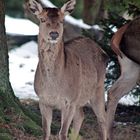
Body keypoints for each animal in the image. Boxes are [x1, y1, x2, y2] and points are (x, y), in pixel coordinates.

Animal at [27, 0, 107, 139]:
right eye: (42, 19)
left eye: (62, 20)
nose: (54, 34)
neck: (54, 88)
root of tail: (103, 51)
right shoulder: (43, 100)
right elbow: (46, 132)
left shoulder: (69, 101)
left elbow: (62, 133)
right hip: (79, 97)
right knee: (81, 116)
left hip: (98, 88)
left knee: (103, 119)